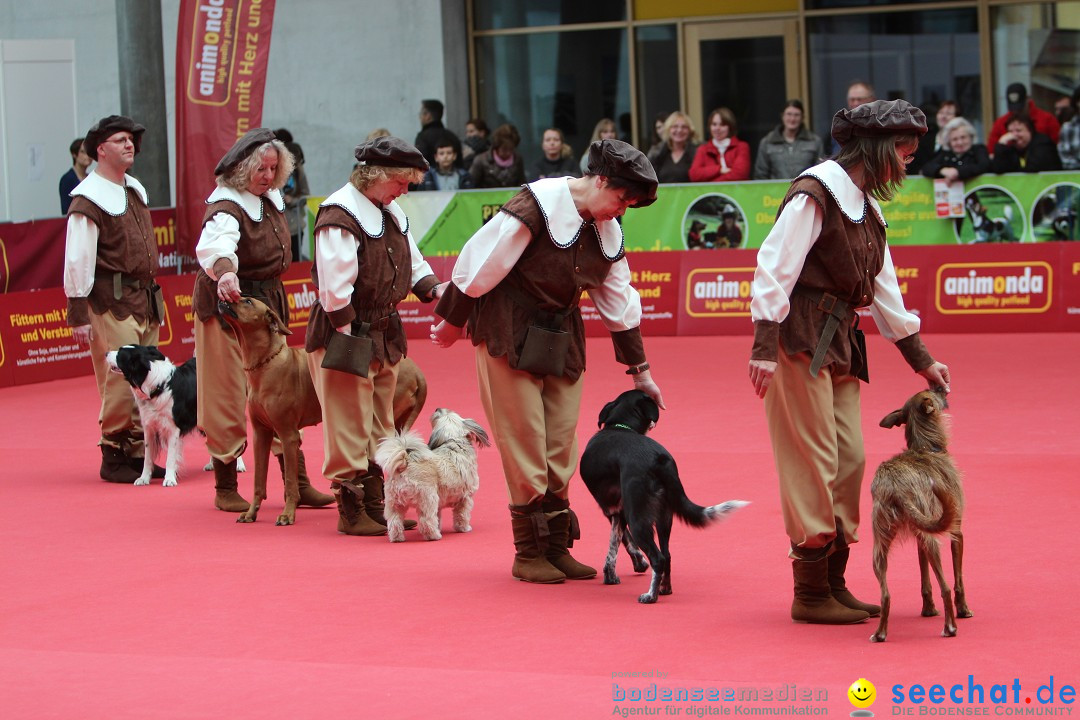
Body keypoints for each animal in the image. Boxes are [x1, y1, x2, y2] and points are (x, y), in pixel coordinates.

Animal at [106, 345, 199, 487]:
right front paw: (144, 478)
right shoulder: (149, 427)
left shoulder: (173, 428)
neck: (157, 388)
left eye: (120, 354)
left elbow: (170, 457)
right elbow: (147, 457)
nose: (105, 353)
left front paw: (169, 479)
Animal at [373, 408, 488, 544]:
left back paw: (397, 538)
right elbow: (461, 516)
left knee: (395, 522)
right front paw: (464, 528)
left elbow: (438, 518)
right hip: (428, 499)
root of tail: (405, 464)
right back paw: (434, 536)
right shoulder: (465, 498)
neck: (454, 442)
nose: (438, 408)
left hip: (394, 504)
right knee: (426, 521)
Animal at [578, 390, 747, 604]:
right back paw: (664, 588)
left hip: (639, 519)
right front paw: (612, 575)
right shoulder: (619, 514)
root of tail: (659, 459)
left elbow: (624, 541)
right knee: (667, 555)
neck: (620, 425)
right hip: (664, 517)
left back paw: (651, 595)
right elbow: (615, 545)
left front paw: (627, 569)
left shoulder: (612, 512)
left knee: (658, 558)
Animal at [868, 388, 972, 643]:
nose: (940, 387)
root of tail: (895, 486)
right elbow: (958, 579)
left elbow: (924, 579)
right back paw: (950, 627)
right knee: (946, 587)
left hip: (880, 550)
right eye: (932, 392)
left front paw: (928, 609)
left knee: (885, 595)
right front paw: (964, 609)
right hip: (934, 543)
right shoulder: (956, 532)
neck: (926, 447)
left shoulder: (920, 537)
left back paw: (880, 633)